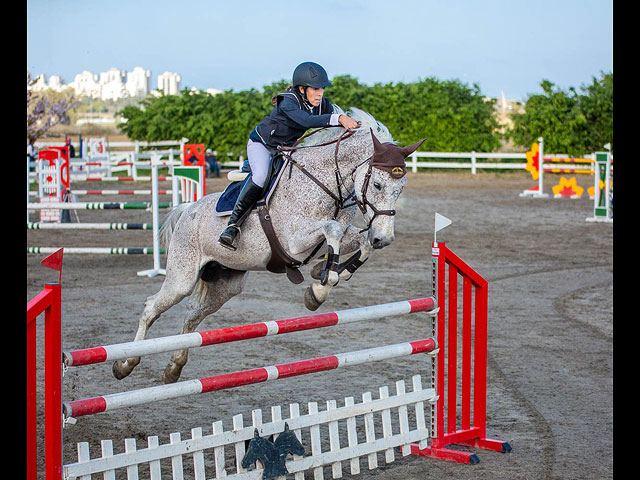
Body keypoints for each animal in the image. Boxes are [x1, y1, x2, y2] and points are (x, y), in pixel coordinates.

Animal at [112, 107, 424, 384]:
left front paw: (325, 275)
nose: (385, 237)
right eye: (378, 186)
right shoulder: (295, 241)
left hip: (225, 286)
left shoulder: (341, 236)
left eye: (402, 187)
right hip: (182, 277)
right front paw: (320, 285)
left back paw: (173, 368)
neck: (323, 180)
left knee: (191, 315)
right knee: (151, 307)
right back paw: (124, 364)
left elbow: (361, 243)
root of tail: (188, 209)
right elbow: (332, 230)